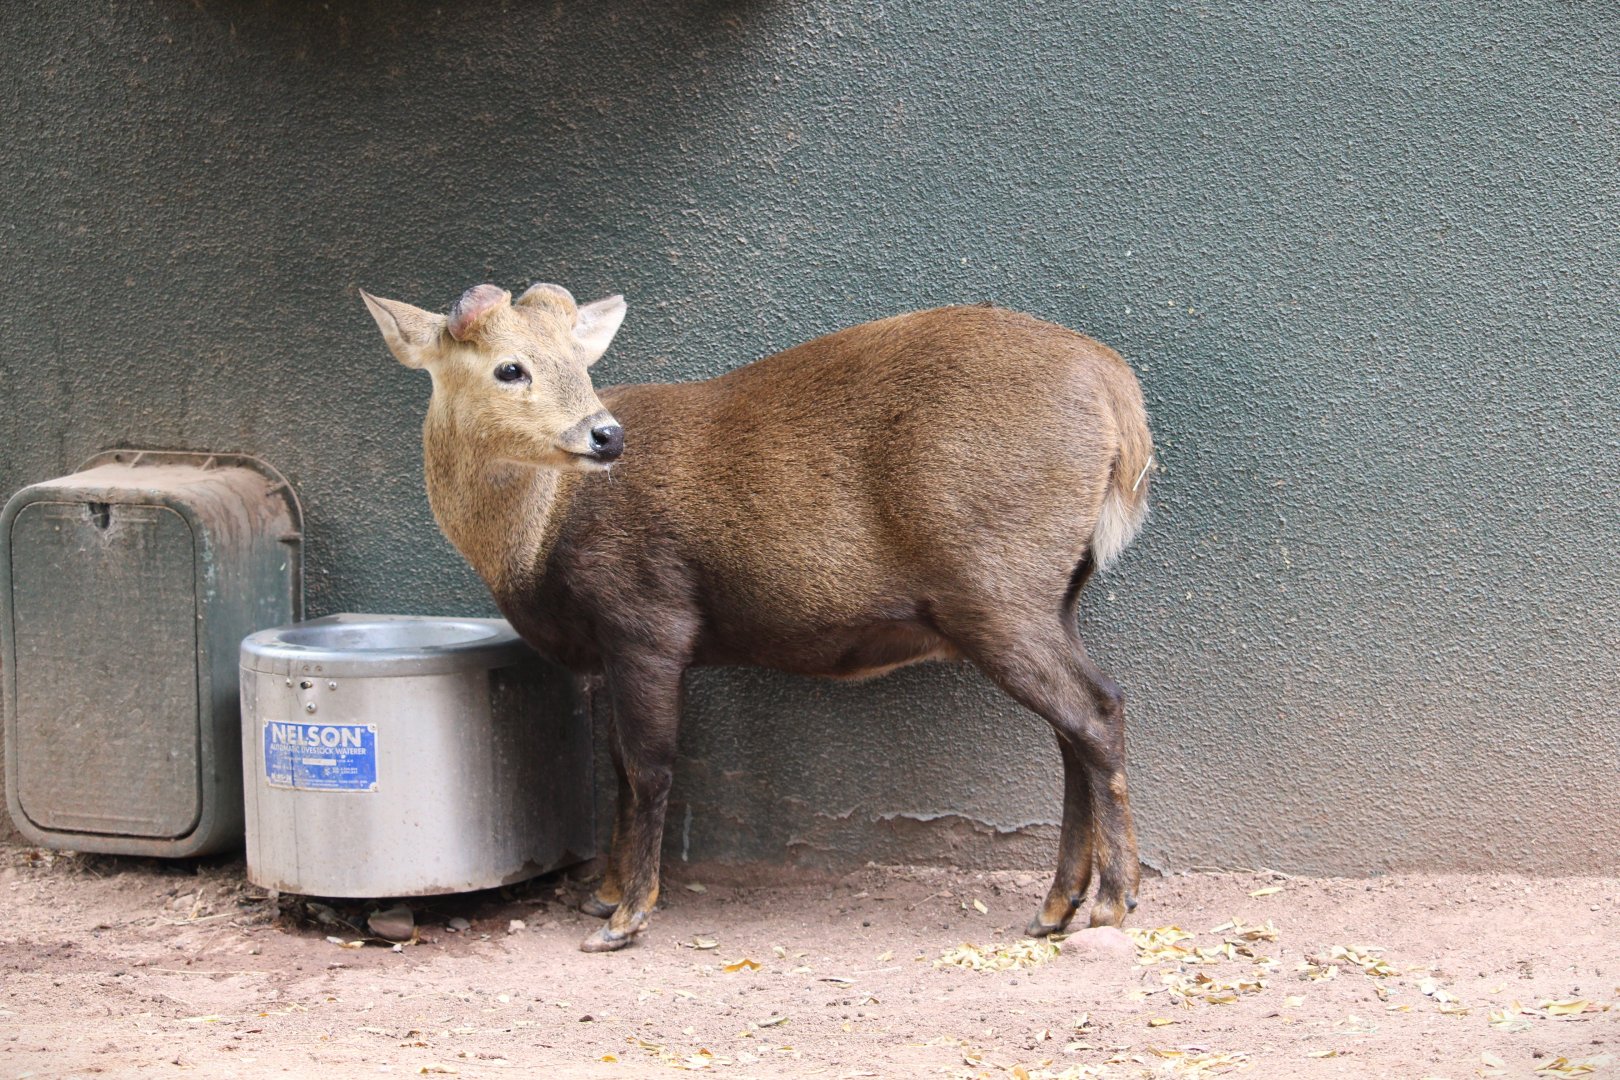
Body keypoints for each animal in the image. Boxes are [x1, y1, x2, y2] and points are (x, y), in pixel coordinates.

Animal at [361, 281, 1154, 953]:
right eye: (510, 368)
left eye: (581, 366)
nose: (605, 435)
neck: (537, 538)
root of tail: (1121, 398)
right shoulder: (614, 646)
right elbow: (616, 766)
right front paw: (604, 893)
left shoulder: (647, 616)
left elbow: (648, 766)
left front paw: (626, 916)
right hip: (1052, 594)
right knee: (1077, 725)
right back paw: (1057, 905)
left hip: (995, 586)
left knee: (1096, 710)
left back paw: (1111, 903)